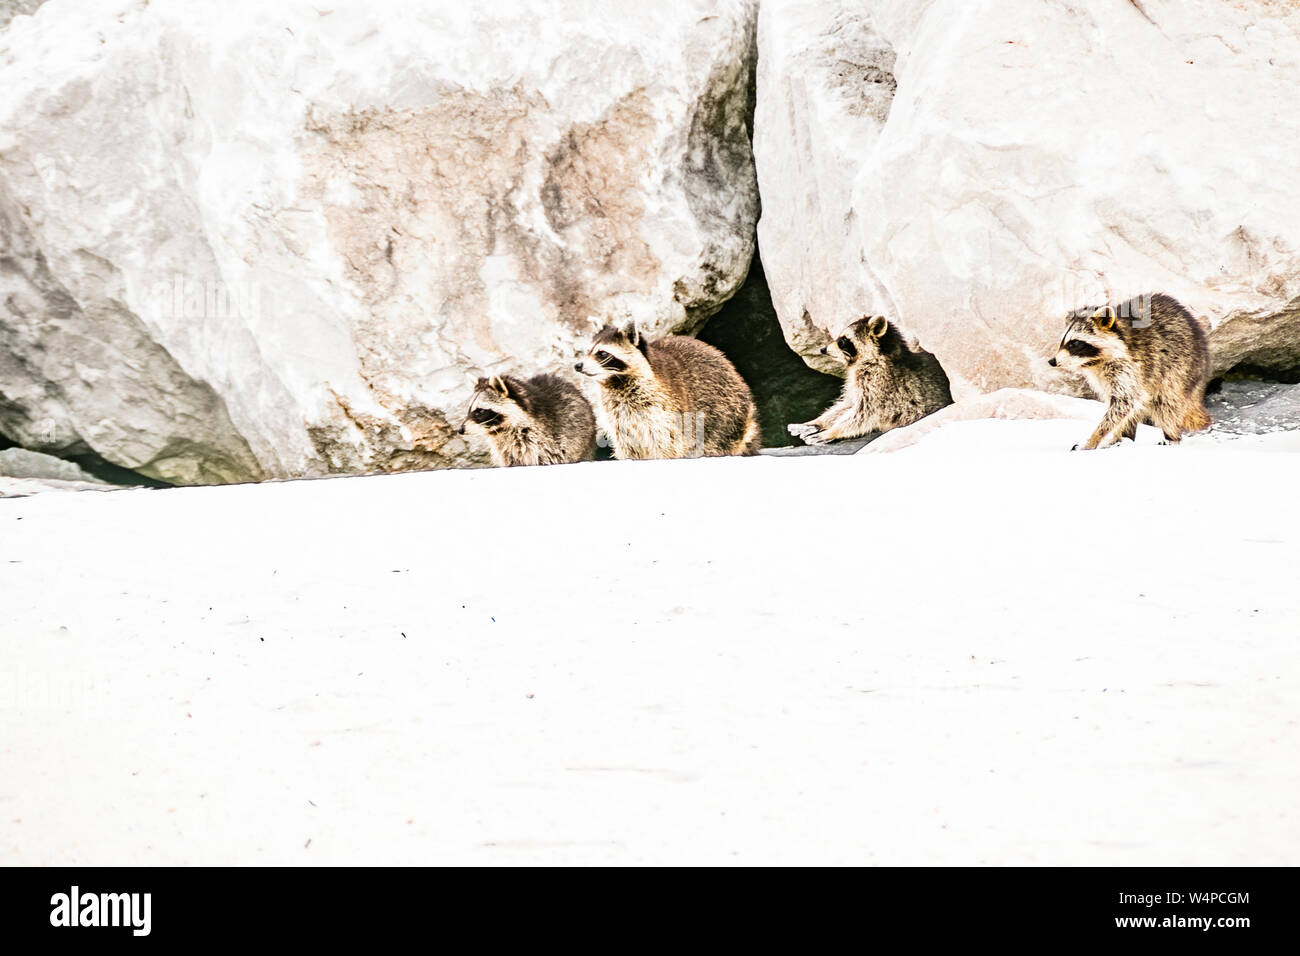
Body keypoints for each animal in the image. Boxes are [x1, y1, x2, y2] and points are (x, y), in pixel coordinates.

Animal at [457, 373, 597, 467]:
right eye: (469, 409)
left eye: (480, 411)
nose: (460, 430)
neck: (503, 430)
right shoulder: (507, 451)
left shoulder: (548, 442)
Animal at [574, 322, 761, 459]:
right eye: (588, 351)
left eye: (602, 353)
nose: (578, 366)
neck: (615, 382)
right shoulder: (618, 417)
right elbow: (628, 444)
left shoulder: (663, 410)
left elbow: (666, 443)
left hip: (726, 415)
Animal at [787, 315, 953, 444]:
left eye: (842, 341)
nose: (823, 349)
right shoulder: (857, 385)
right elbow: (848, 404)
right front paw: (817, 422)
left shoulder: (878, 386)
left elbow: (862, 415)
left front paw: (832, 431)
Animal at [1048, 292, 1211, 450]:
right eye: (1062, 342)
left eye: (1075, 343)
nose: (1052, 361)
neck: (1094, 362)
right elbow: (1122, 406)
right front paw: (1115, 435)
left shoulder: (1129, 366)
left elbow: (1123, 403)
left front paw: (1093, 439)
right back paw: (1125, 437)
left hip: (1179, 369)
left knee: (1166, 405)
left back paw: (1171, 436)